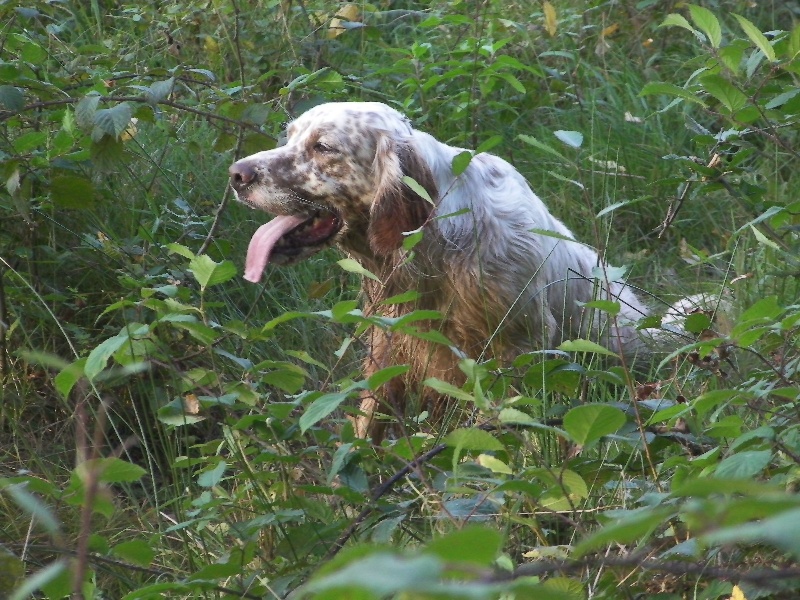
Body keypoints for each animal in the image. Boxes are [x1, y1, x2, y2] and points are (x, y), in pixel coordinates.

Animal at [227, 102, 648, 440]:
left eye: (323, 146)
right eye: (290, 137)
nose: (236, 174)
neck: (437, 251)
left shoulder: (517, 345)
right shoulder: (389, 341)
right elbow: (370, 416)